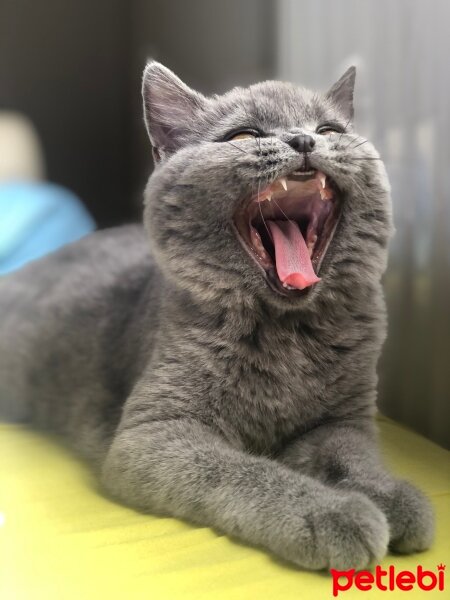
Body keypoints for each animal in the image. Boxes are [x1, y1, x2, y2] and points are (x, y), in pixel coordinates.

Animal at [0, 63, 436, 568]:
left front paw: (392, 497)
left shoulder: (343, 417)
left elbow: (350, 455)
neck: (287, 334)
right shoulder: (152, 433)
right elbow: (242, 472)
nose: (303, 140)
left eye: (330, 130)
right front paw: (336, 514)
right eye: (243, 135)